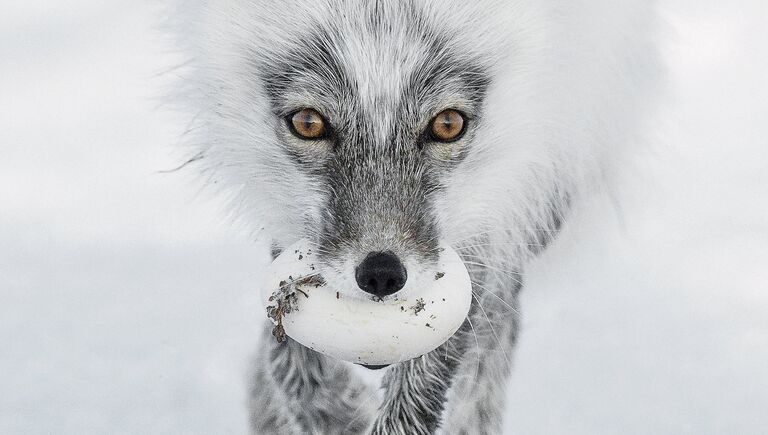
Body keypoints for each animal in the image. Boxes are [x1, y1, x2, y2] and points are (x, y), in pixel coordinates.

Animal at [168, 1, 660, 434]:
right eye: (308, 123)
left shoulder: (497, 206)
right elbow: (292, 363)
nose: (382, 274)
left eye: (448, 124)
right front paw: (333, 413)